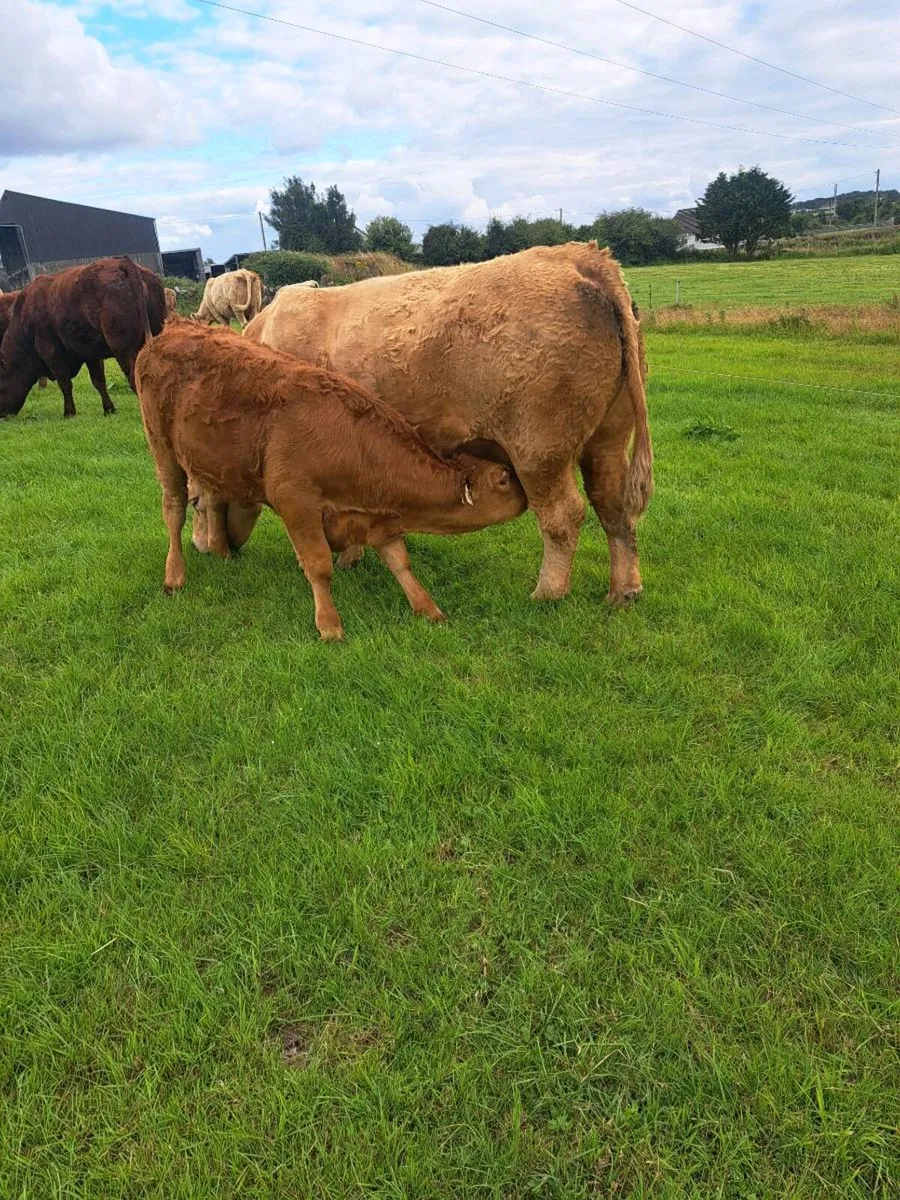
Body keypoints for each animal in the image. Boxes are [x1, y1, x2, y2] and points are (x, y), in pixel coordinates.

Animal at [0, 258, 165, 418]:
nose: (2, 415)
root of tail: (122, 263)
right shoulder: (91, 353)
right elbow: (98, 381)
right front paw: (109, 409)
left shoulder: (50, 353)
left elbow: (64, 382)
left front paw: (69, 412)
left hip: (123, 348)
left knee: (133, 376)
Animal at [135, 323, 526, 640]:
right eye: (505, 478)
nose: (528, 496)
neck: (354, 444)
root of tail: (173, 328)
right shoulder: (296, 501)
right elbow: (319, 565)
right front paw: (329, 625)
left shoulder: (377, 518)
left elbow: (400, 562)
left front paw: (427, 608)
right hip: (162, 449)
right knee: (174, 509)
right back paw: (175, 576)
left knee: (212, 501)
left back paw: (222, 553)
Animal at [245, 242, 653, 606]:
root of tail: (578, 256)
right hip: (609, 436)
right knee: (613, 505)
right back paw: (624, 590)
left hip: (539, 447)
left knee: (563, 515)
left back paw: (547, 593)